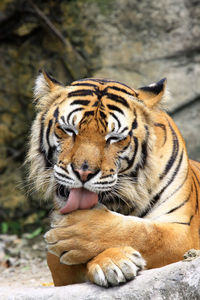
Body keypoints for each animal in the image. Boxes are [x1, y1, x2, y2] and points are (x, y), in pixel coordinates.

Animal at [27, 71, 200, 288]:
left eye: (114, 138)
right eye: (68, 130)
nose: (83, 173)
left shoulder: (184, 233)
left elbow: (145, 233)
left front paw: (78, 234)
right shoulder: (57, 264)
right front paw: (112, 261)